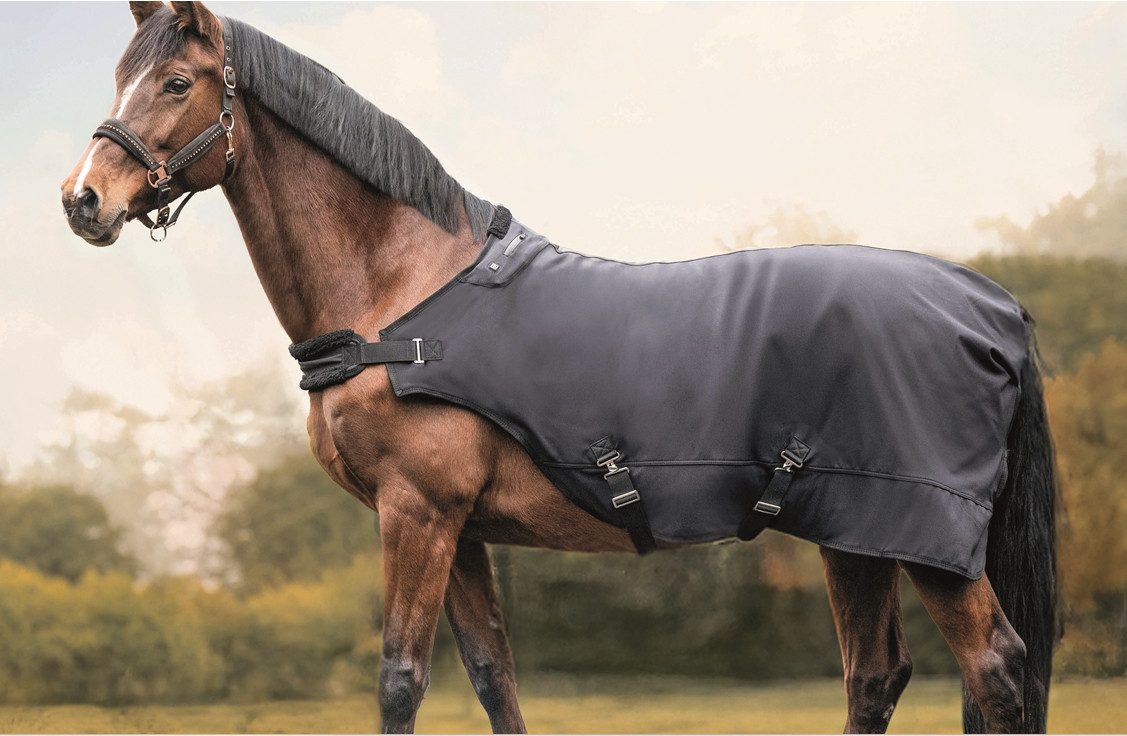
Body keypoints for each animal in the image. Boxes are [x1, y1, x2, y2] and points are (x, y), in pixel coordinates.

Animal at [60, 3, 1057, 733]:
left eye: (176, 82)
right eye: (119, 77)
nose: (83, 200)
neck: (396, 293)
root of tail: (990, 304)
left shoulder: (416, 514)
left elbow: (399, 680)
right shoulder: (458, 530)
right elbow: (492, 677)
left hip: (921, 537)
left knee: (996, 672)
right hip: (857, 533)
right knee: (875, 676)